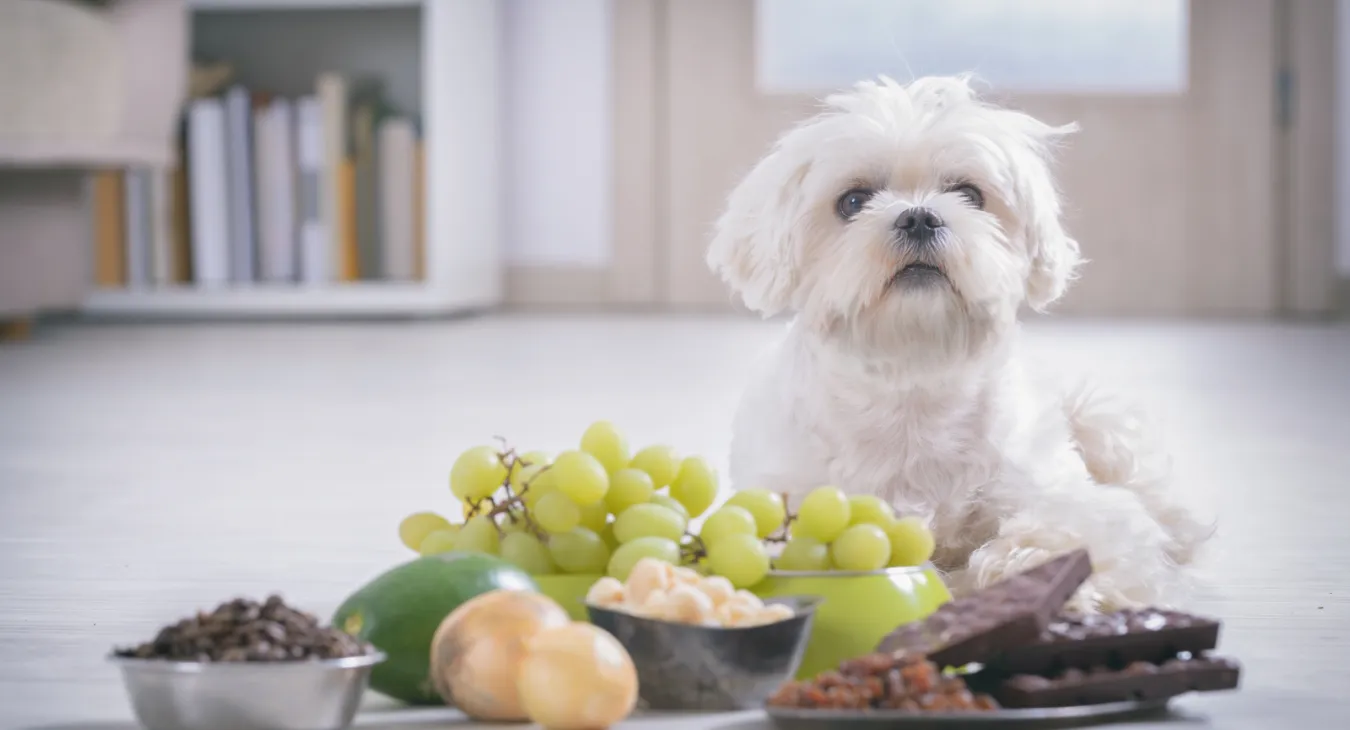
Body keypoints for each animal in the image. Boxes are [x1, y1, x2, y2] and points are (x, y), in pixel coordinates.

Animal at [707, 75, 1215, 609]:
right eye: (853, 201)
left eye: (970, 193)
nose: (918, 217)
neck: (913, 375)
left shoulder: (1058, 493)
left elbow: (1073, 531)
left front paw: (1036, 574)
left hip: (1100, 422)